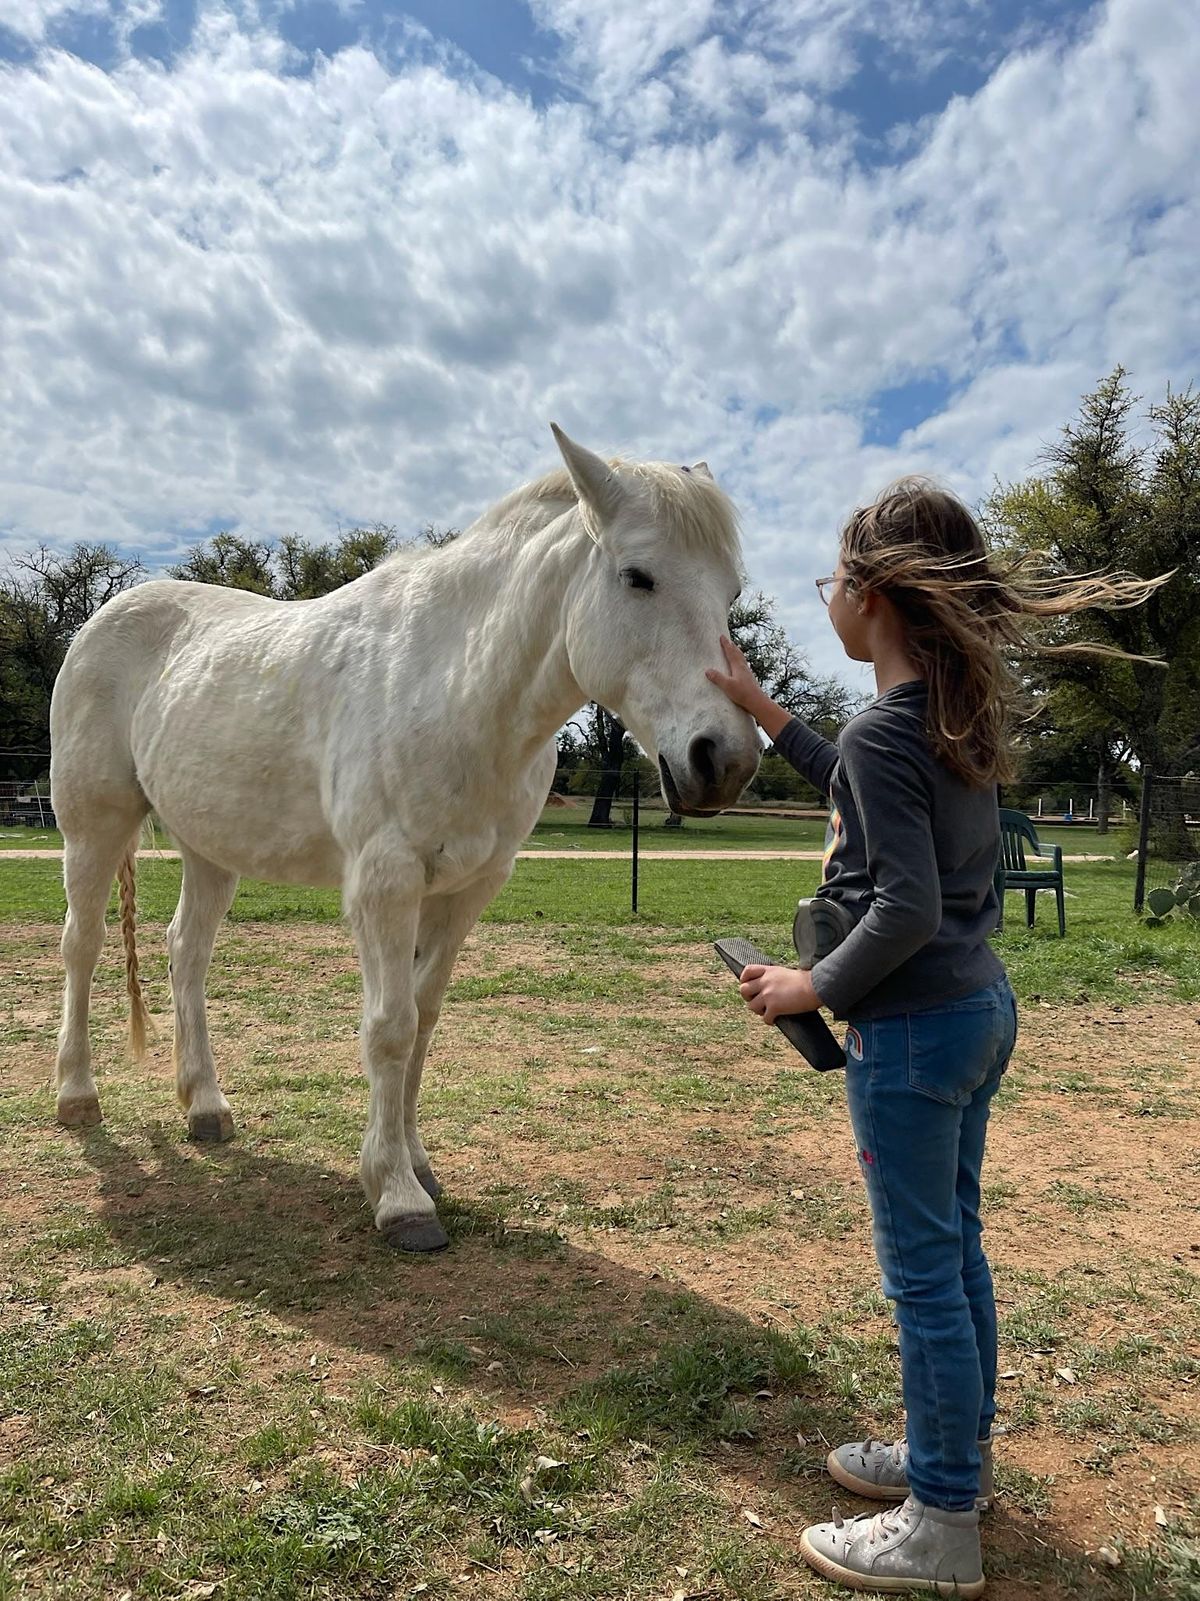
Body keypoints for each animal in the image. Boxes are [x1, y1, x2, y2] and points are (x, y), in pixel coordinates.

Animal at [49, 426, 761, 1251]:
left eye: (730, 592)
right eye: (638, 577)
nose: (724, 761)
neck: (454, 683)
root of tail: (107, 616)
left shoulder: (465, 888)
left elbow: (422, 1021)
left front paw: (418, 1165)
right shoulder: (384, 882)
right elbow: (388, 1028)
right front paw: (396, 1196)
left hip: (210, 849)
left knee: (184, 953)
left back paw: (205, 1104)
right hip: (93, 827)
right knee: (83, 944)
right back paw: (76, 1095)